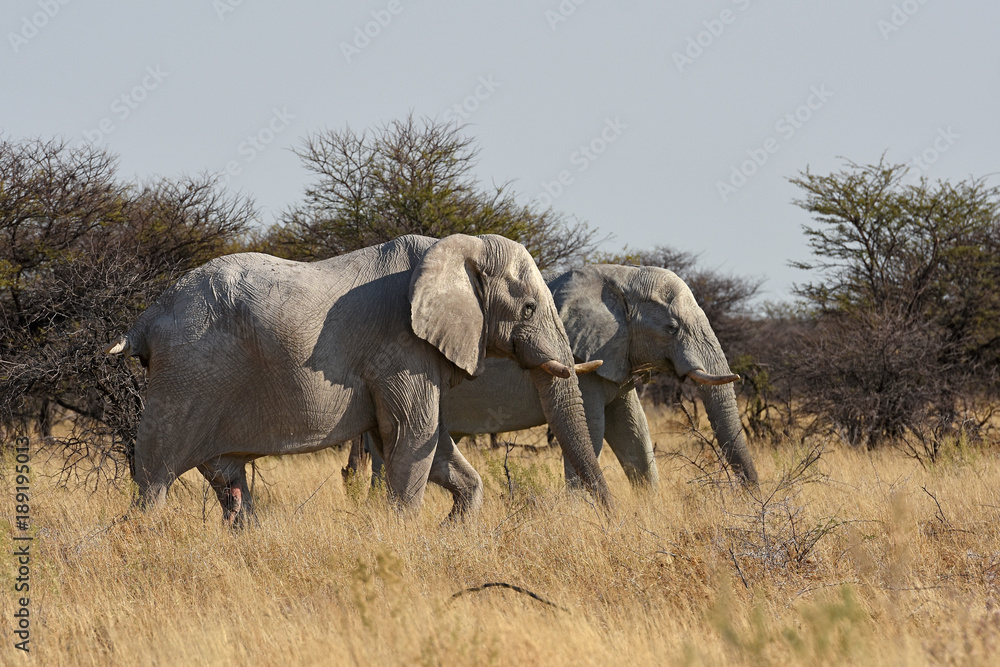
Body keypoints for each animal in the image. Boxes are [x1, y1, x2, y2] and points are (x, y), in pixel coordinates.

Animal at [107, 232, 608, 524]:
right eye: (528, 308)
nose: (609, 519)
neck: (454, 248)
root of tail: (147, 317)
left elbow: (429, 444)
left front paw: (450, 530)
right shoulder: (401, 346)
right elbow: (412, 434)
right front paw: (403, 538)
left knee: (227, 479)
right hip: (186, 376)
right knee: (153, 477)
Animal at [352, 264, 756, 490]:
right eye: (672, 328)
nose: (750, 499)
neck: (620, 278)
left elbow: (634, 432)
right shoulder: (583, 358)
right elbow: (593, 431)